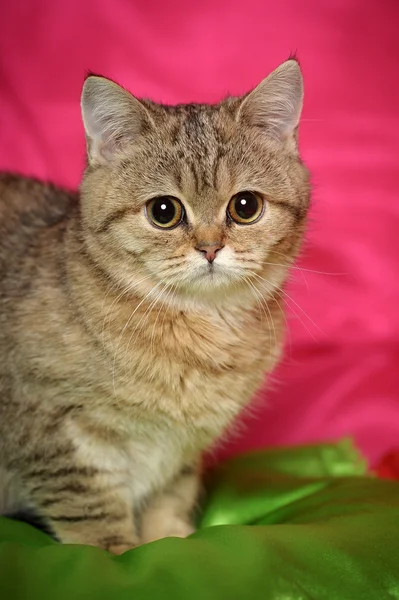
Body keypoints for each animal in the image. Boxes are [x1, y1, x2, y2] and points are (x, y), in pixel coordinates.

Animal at [0, 57, 312, 552]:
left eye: (245, 206)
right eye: (164, 211)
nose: (210, 248)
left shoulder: (180, 452)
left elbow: (168, 502)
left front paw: (171, 545)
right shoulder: (55, 433)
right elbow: (93, 519)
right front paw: (121, 556)